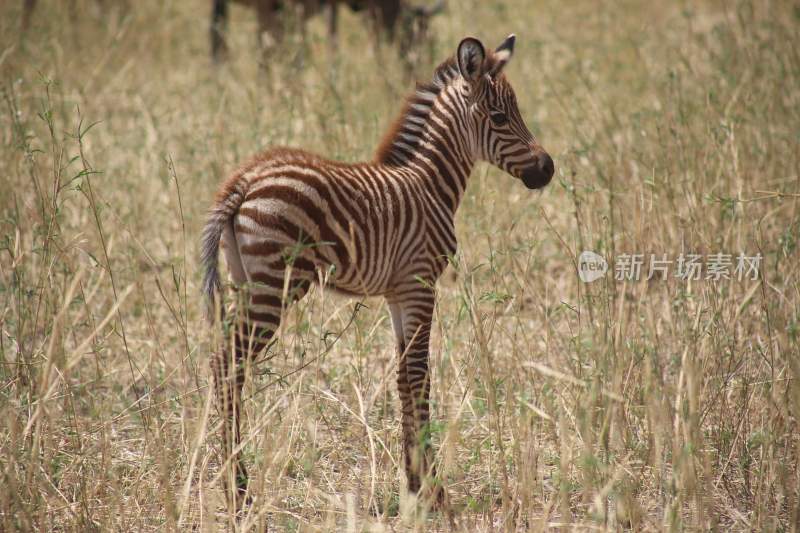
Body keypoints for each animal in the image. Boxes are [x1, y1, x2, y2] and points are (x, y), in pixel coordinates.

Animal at [200, 34, 552, 508]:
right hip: (274, 285)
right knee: (228, 365)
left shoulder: (398, 292)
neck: (429, 183)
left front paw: (415, 482)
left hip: (245, 278)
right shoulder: (421, 282)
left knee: (227, 365)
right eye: (499, 117)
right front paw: (433, 491)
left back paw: (235, 483)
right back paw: (237, 490)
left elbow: (404, 378)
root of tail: (244, 179)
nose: (548, 169)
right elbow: (420, 377)